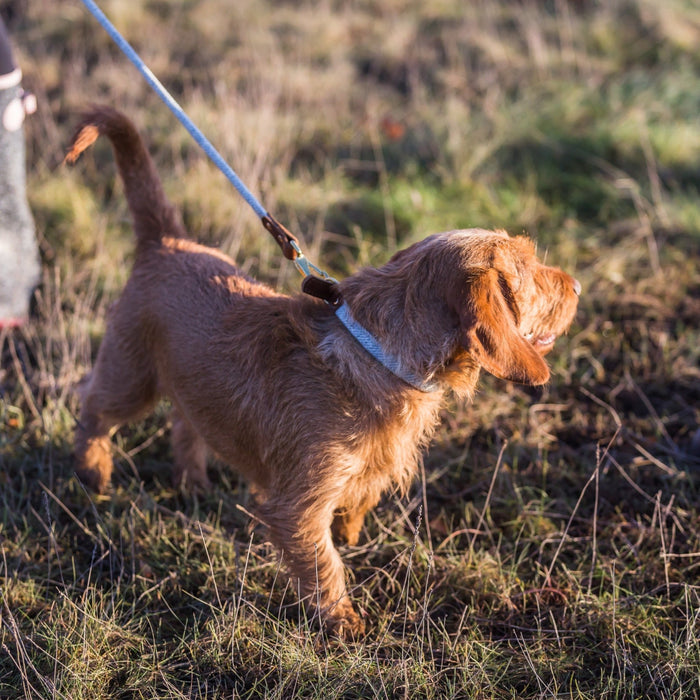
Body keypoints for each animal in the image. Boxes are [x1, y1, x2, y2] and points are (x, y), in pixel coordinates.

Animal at [67, 106, 580, 636]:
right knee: (92, 408)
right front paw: (343, 622)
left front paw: (351, 535)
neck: (376, 352)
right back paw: (93, 474)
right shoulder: (299, 505)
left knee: (185, 421)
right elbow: (323, 563)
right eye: (530, 268)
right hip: (130, 378)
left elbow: (357, 505)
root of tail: (166, 240)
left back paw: (192, 480)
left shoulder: (368, 468)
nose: (578, 286)